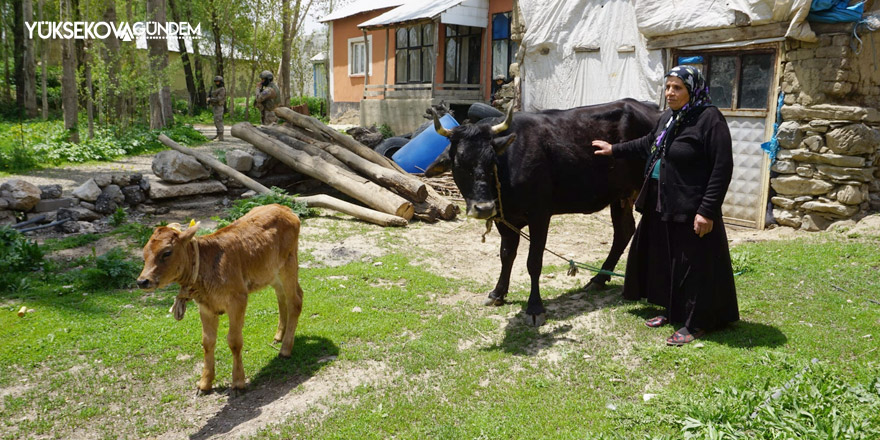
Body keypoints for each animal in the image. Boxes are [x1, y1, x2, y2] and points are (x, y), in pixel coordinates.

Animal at [136, 203, 304, 392]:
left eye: (166, 252)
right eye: (144, 254)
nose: (142, 281)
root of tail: (284, 208)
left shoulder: (238, 299)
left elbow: (234, 340)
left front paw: (238, 381)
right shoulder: (205, 307)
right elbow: (207, 342)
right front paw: (204, 383)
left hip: (289, 264)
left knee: (295, 300)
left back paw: (285, 349)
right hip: (271, 273)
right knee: (282, 297)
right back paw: (278, 336)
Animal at [424, 99, 660, 326]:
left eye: (491, 161)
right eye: (458, 164)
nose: (484, 208)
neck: (508, 167)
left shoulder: (540, 215)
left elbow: (534, 262)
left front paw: (535, 308)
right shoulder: (505, 218)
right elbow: (506, 255)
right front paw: (498, 293)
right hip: (620, 196)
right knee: (624, 231)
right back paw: (598, 280)